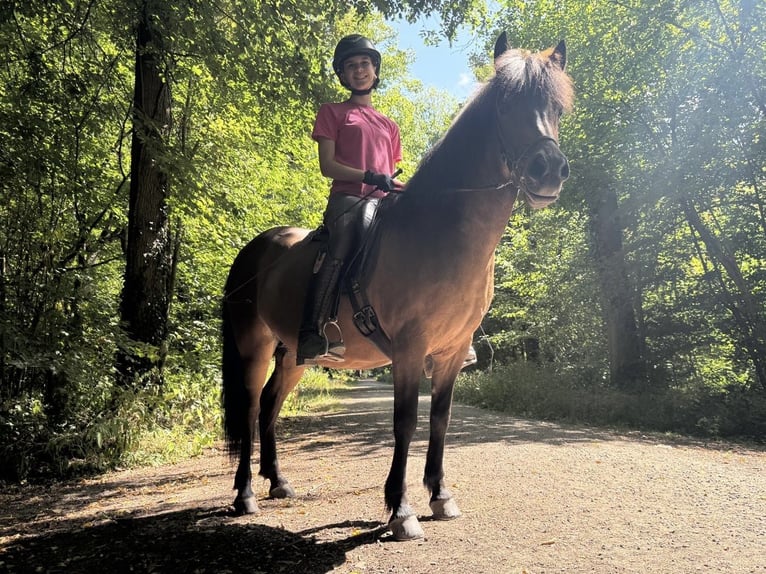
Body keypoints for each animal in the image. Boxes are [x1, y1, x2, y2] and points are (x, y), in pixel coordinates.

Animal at [221, 32, 574, 541]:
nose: (549, 170)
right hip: (254, 345)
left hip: (292, 355)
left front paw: (441, 496)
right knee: (250, 407)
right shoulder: (409, 347)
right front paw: (401, 510)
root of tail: (257, 248)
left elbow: (440, 419)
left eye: (558, 108)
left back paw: (278, 483)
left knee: (269, 404)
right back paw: (245, 493)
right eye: (507, 106)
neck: (439, 233)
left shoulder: (452, 351)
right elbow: (405, 421)